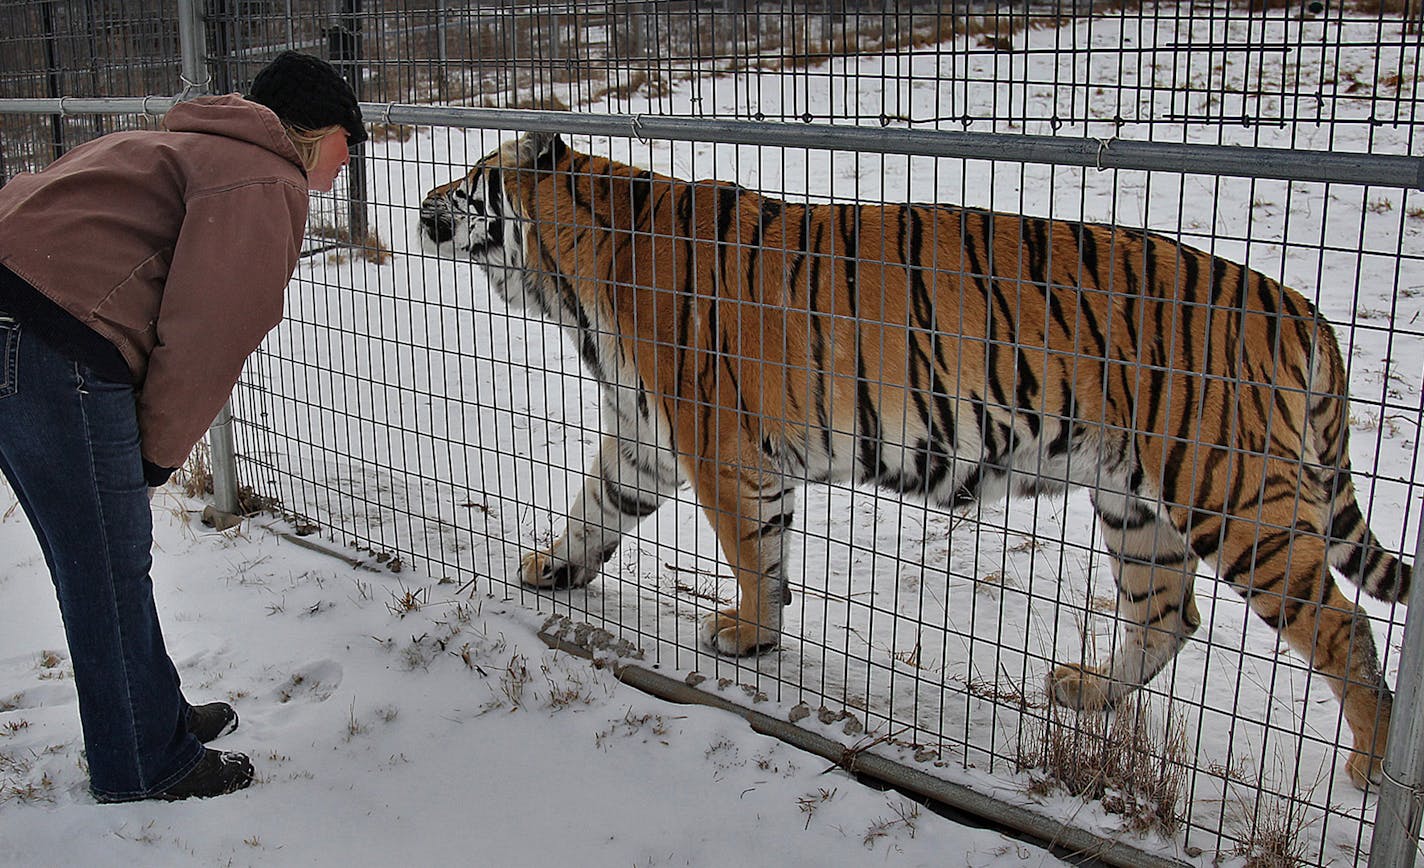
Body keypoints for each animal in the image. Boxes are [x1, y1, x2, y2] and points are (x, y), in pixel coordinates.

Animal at [415, 131, 1412, 785]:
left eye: (473, 179)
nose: (423, 206)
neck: (568, 275)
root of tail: (1298, 303)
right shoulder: (647, 437)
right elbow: (597, 509)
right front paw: (553, 569)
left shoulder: (716, 442)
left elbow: (749, 550)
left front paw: (749, 635)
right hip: (1136, 503)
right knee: (1169, 616)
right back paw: (1086, 692)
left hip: (1229, 493)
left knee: (1342, 630)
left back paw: (1371, 766)